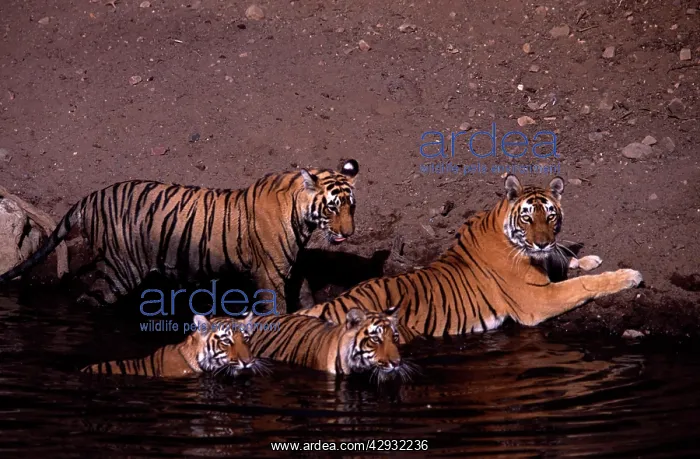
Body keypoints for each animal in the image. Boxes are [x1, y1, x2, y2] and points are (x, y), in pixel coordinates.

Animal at [0, 160, 360, 313]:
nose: (348, 234)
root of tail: (91, 197)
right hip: (121, 270)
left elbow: (306, 297)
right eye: (332, 208)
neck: (303, 220)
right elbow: (277, 310)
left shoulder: (292, 268)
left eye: (351, 207)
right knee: (89, 299)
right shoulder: (269, 274)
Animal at [296, 174, 643, 342]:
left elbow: (562, 260)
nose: (543, 242)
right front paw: (628, 275)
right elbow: (583, 285)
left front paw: (586, 258)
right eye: (528, 218)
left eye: (551, 216)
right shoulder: (536, 300)